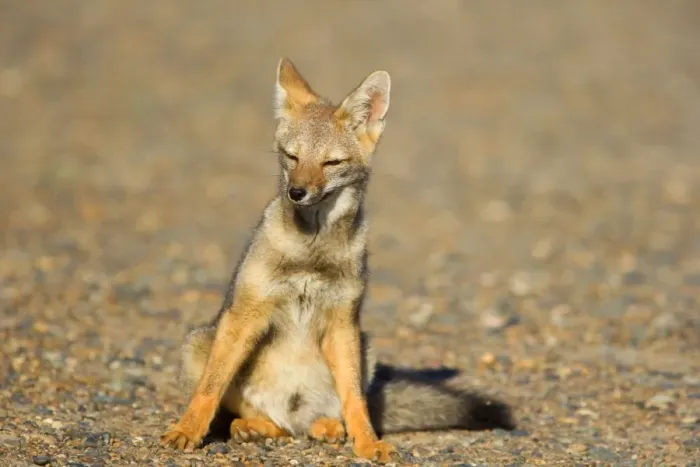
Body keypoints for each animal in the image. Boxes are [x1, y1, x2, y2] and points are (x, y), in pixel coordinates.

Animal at [160, 58, 514, 462]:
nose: (297, 192)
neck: (311, 253)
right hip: (200, 342)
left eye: (331, 162)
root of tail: (294, 413)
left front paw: (368, 442)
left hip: (365, 348)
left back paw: (325, 427)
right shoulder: (246, 313)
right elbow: (210, 387)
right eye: (292, 157)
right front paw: (186, 430)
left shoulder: (343, 321)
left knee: (317, 417)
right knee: (256, 414)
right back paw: (253, 427)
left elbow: (355, 400)